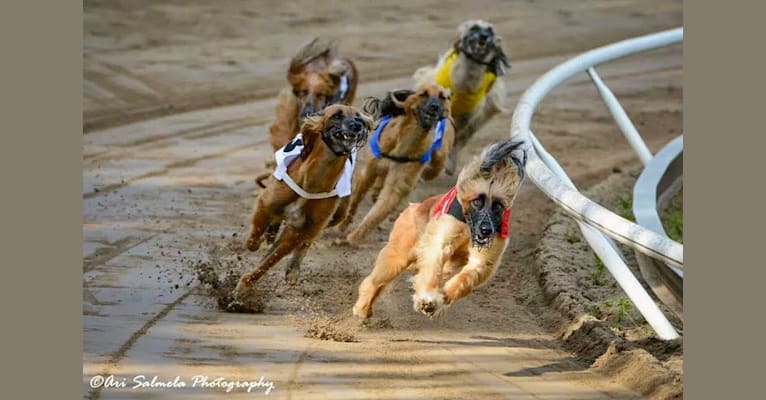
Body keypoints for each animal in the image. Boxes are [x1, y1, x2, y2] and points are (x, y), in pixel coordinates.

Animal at [338, 83, 456, 244]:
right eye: (423, 94)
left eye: (442, 97)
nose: (435, 107)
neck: (404, 144)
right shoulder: (369, 170)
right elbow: (356, 198)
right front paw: (343, 225)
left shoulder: (399, 179)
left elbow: (380, 209)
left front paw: (354, 237)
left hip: (437, 161)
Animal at [352, 139, 528, 320]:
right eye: (477, 201)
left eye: (498, 206)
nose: (486, 230)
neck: (468, 227)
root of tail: (414, 206)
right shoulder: (440, 242)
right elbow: (432, 267)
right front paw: (427, 298)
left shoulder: (482, 260)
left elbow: (466, 277)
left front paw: (440, 299)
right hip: (399, 253)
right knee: (376, 280)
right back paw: (362, 308)